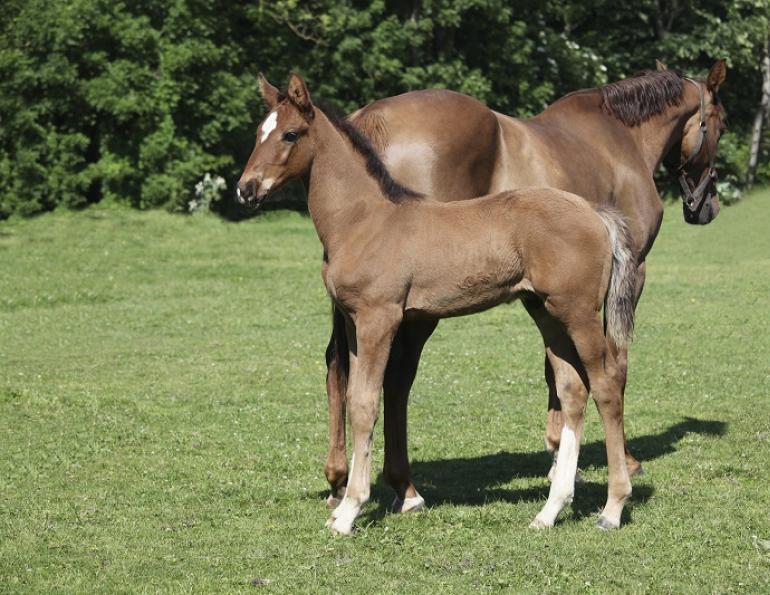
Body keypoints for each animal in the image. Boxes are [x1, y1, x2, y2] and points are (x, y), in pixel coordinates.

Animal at [237, 73, 638, 534]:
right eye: (258, 132)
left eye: (290, 133)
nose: (245, 189)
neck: (363, 220)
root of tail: (593, 211)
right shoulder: (355, 323)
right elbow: (355, 394)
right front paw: (345, 506)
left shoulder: (379, 318)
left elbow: (365, 404)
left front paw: (350, 509)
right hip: (547, 313)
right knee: (573, 390)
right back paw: (549, 511)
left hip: (580, 313)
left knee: (607, 385)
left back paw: (612, 507)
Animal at [307, 61, 726, 510]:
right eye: (720, 124)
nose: (706, 207)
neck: (618, 138)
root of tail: (373, 119)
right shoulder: (631, 276)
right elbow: (614, 363)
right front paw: (613, 459)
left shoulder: (549, 295)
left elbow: (560, 369)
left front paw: (560, 454)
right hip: (417, 312)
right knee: (396, 377)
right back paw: (401, 485)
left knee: (340, 368)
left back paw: (341, 479)